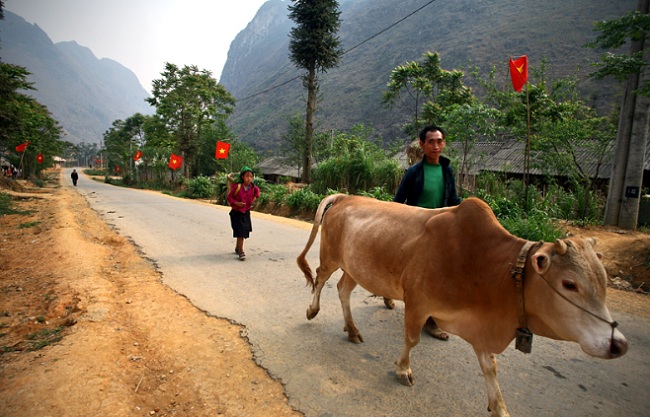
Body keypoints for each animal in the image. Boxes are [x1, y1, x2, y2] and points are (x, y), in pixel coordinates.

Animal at [296, 194, 624, 416]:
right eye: (570, 284)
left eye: (604, 281)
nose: (618, 343)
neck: (482, 265)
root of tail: (346, 196)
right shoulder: (417, 302)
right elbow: (411, 339)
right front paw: (403, 370)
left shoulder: (479, 326)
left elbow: (490, 367)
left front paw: (499, 408)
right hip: (331, 256)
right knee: (321, 279)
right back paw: (312, 310)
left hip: (355, 268)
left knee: (342, 290)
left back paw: (352, 329)